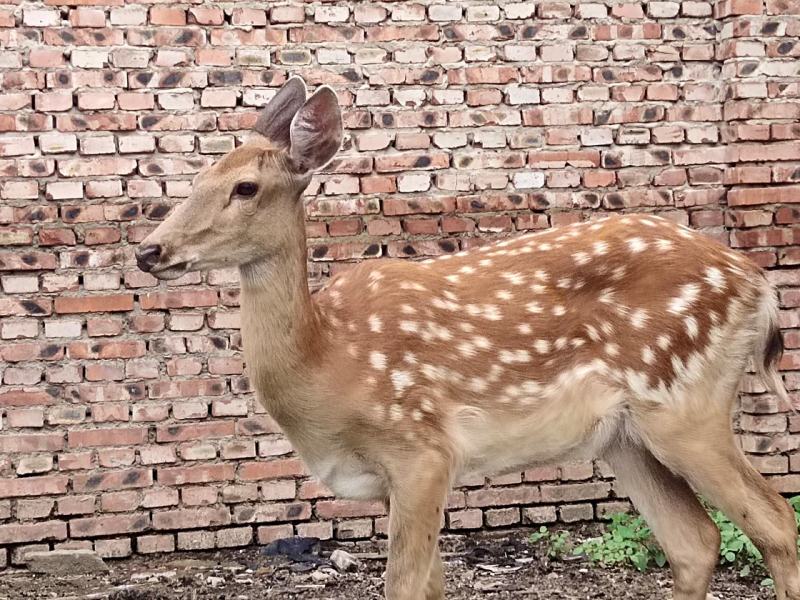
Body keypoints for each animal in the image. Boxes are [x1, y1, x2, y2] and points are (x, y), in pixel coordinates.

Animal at [135, 76, 800, 600]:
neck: (327, 359)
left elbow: (404, 586)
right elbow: (432, 585)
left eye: (245, 187)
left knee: (774, 520)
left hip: (686, 402)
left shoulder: (421, 449)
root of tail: (759, 286)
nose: (149, 251)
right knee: (695, 541)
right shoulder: (394, 480)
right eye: (198, 176)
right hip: (623, 437)